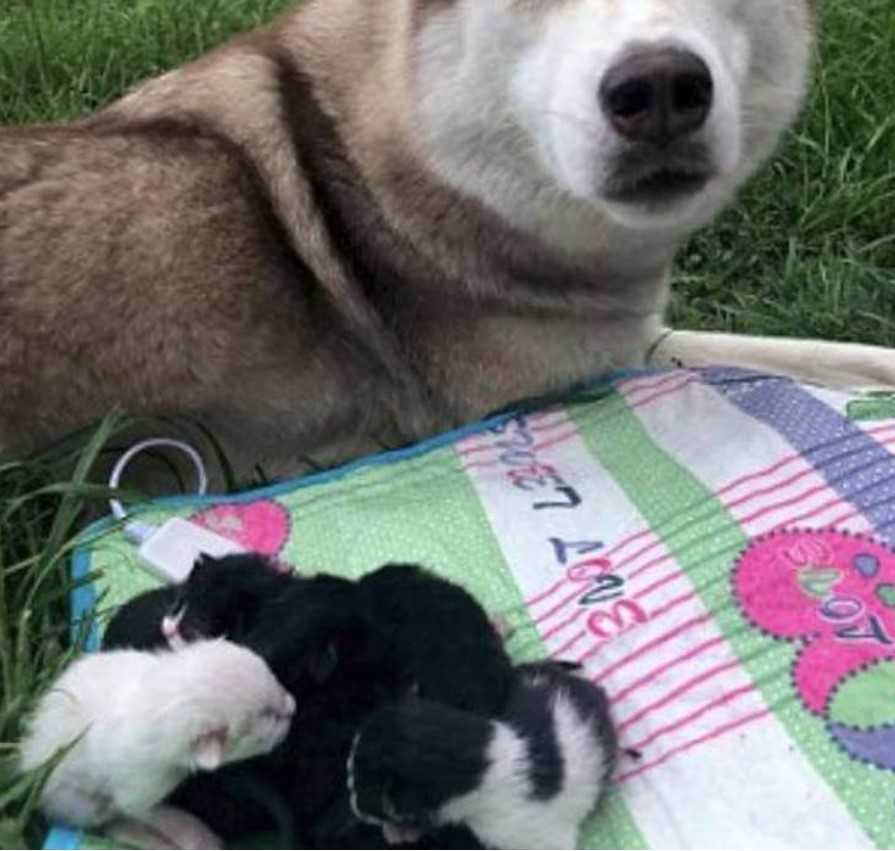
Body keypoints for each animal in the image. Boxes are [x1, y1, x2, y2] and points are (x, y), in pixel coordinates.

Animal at [17, 644, 296, 848]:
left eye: (272, 676)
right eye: (267, 716)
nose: (293, 706)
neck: (161, 701)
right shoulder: (139, 789)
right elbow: (145, 810)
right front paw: (195, 835)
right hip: (80, 804)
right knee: (109, 822)